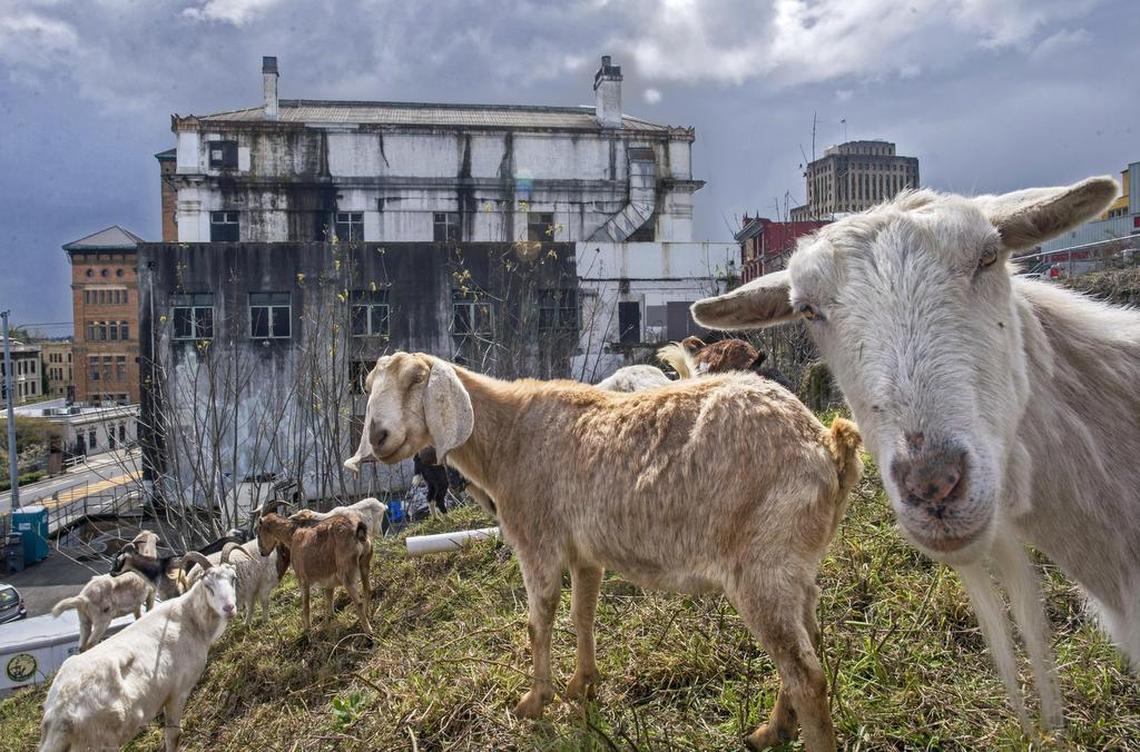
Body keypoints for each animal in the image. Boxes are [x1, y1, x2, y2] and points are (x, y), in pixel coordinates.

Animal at [39, 552, 236, 752]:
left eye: (233, 579)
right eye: (208, 586)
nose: (229, 608)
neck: (190, 618)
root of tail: (60, 713)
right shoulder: (178, 692)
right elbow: (173, 735)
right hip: (98, 742)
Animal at [346, 352, 862, 751]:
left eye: (416, 380)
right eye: (370, 385)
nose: (379, 438)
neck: (510, 437)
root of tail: (827, 446)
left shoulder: (538, 540)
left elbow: (539, 621)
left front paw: (534, 702)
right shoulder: (584, 552)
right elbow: (583, 614)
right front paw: (583, 686)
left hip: (762, 563)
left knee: (806, 673)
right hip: (795, 565)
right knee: (810, 642)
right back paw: (772, 731)